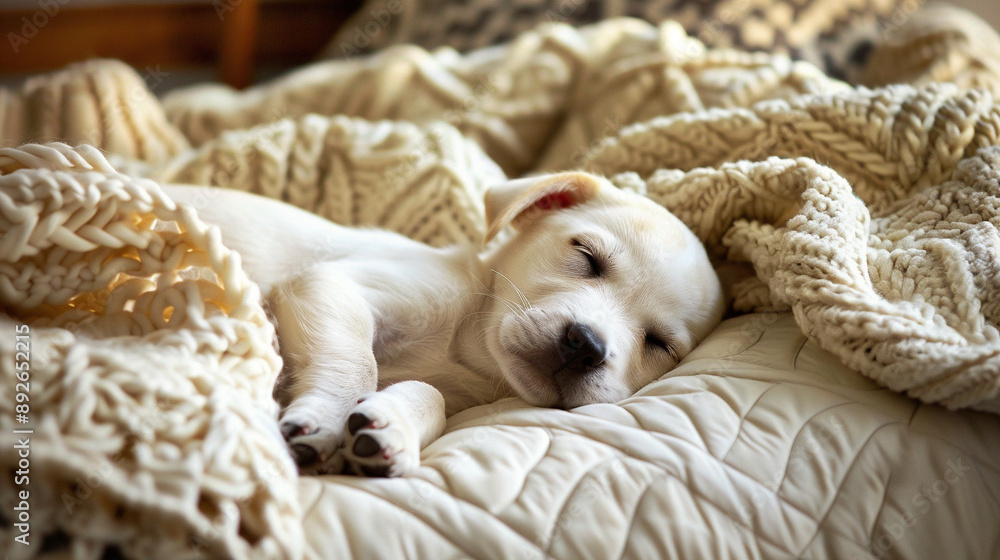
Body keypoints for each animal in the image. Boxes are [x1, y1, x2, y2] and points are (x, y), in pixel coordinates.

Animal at [163, 172, 725, 477]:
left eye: (660, 344)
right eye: (586, 256)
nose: (584, 344)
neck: (465, 348)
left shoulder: (455, 397)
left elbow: (427, 396)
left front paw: (390, 428)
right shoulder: (333, 285)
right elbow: (356, 364)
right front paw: (326, 416)